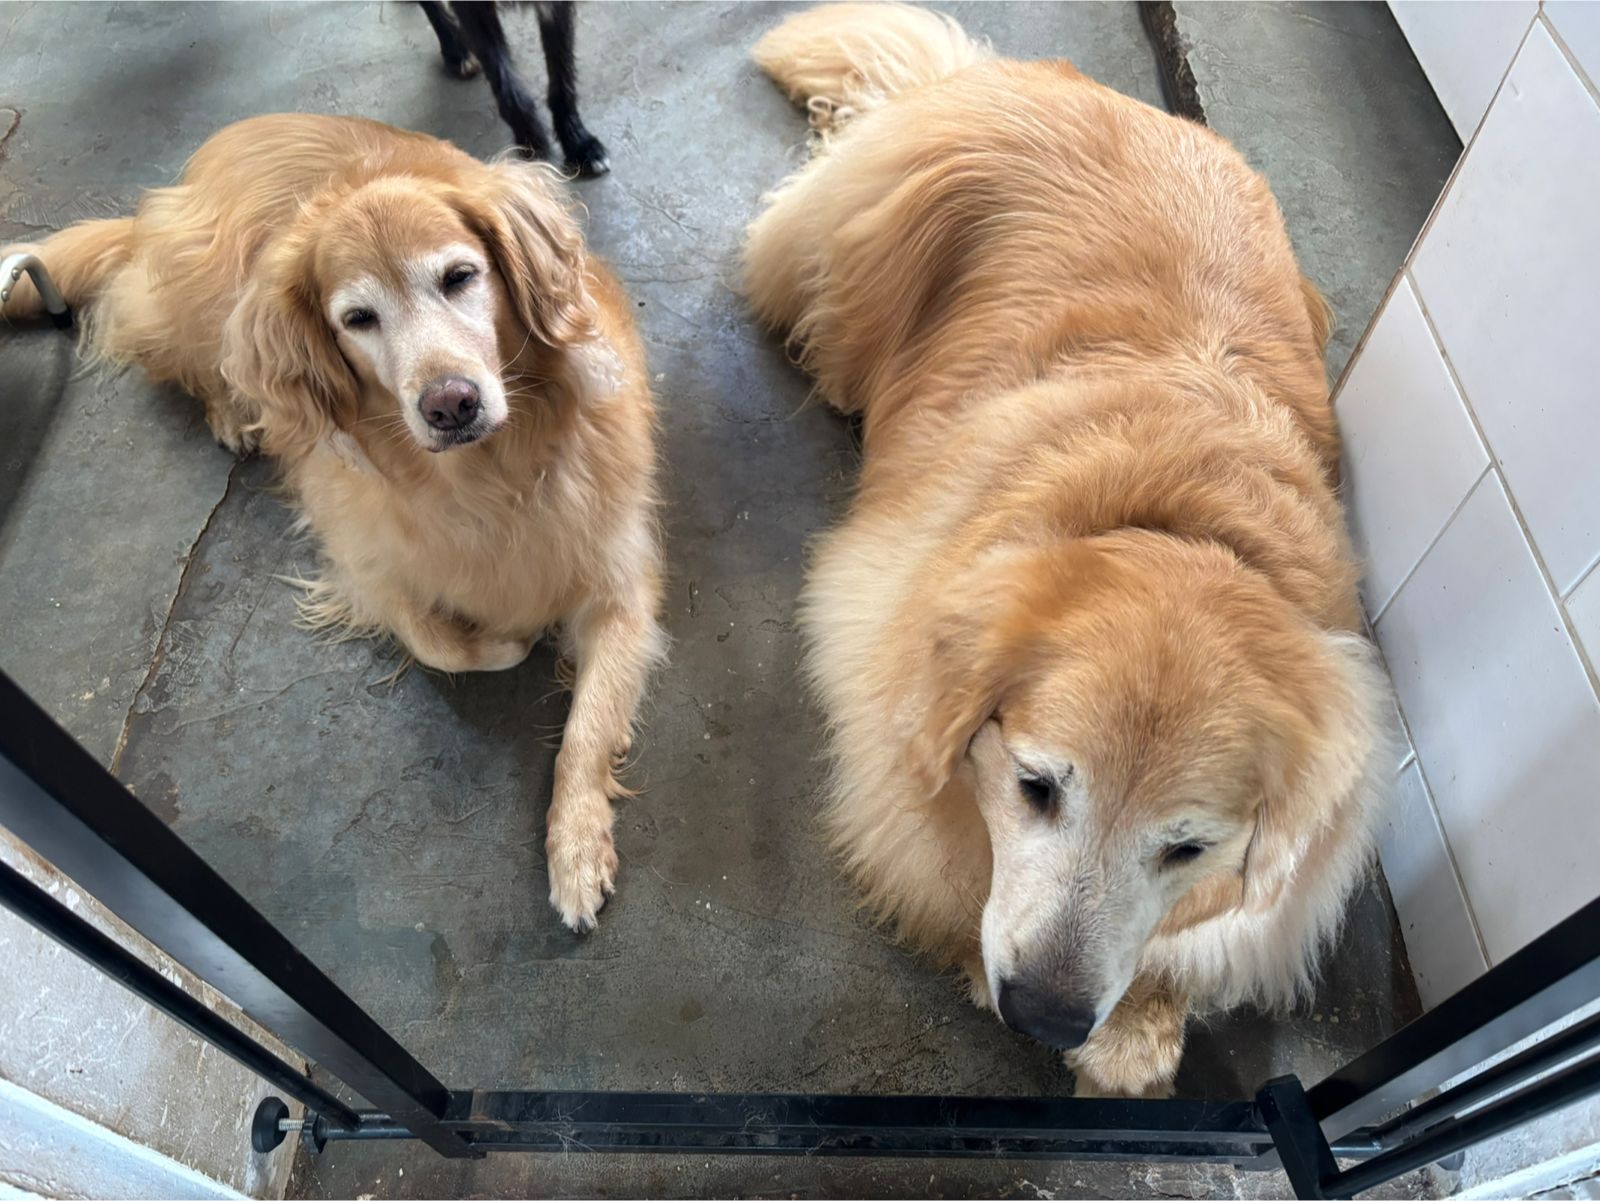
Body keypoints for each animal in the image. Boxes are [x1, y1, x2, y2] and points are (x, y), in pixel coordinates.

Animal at [2, 113, 664, 932]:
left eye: (460, 276)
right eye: (357, 319)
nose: (449, 404)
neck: (494, 476)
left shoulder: (620, 580)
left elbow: (588, 726)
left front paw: (575, 844)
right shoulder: (364, 563)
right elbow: (441, 641)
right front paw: (506, 642)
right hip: (208, 311)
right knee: (187, 360)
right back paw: (232, 414)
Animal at [418, 1, 609, 176]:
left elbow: (562, 76)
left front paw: (579, 142)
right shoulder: (472, 10)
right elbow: (508, 88)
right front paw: (530, 139)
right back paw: (456, 50)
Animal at [744, 5, 1390, 1097]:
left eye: (1187, 846)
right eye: (1036, 787)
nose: (1044, 1015)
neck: (1178, 519)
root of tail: (1040, 79)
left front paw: (1142, 1020)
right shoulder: (877, 644)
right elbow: (936, 843)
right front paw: (978, 946)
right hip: (834, 276)